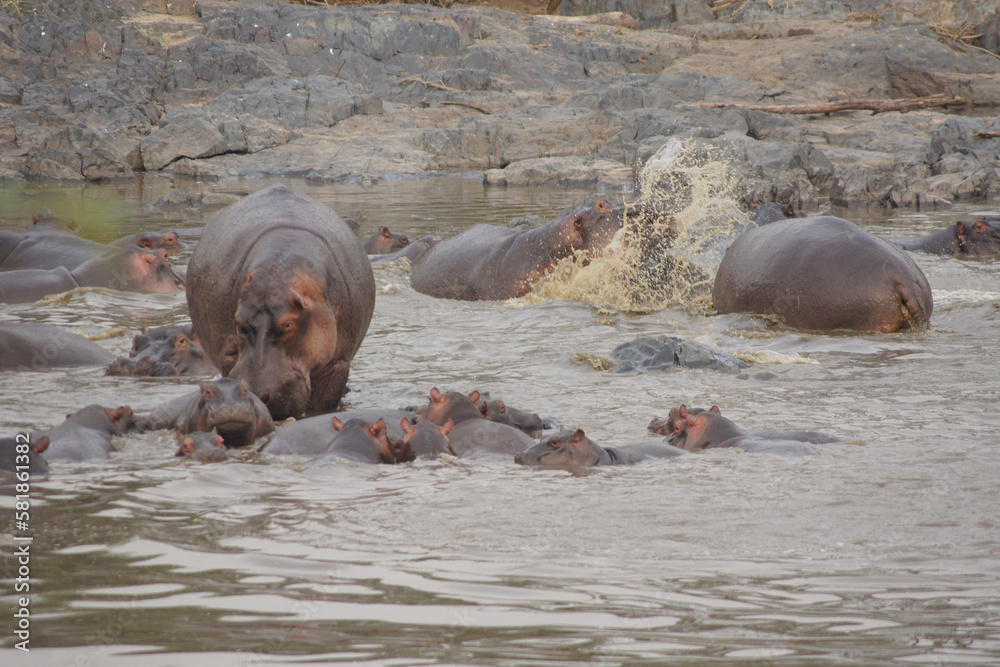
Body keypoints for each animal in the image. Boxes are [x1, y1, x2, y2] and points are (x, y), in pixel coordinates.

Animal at [186, 184, 375, 420]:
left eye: (288, 324)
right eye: (239, 322)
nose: (259, 394)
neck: (279, 270)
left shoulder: (336, 364)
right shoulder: (229, 356)